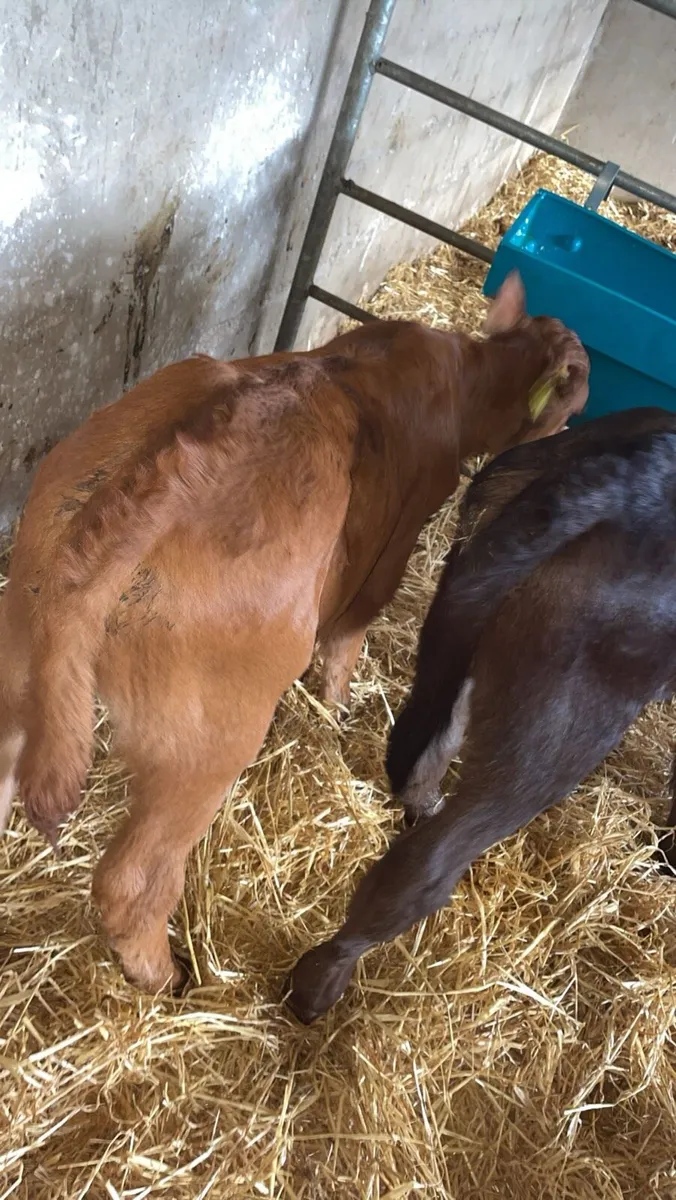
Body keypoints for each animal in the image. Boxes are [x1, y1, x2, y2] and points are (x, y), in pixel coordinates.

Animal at [0, 271, 588, 993]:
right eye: (580, 388)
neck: (458, 369)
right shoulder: (392, 548)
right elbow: (349, 634)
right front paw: (335, 709)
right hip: (209, 740)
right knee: (133, 881)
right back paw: (168, 977)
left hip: (21, 643)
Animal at [287, 407, 676, 1024]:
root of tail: (625, 481)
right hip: (563, 727)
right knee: (429, 861)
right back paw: (318, 987)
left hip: (463, 626)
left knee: (428, 747)